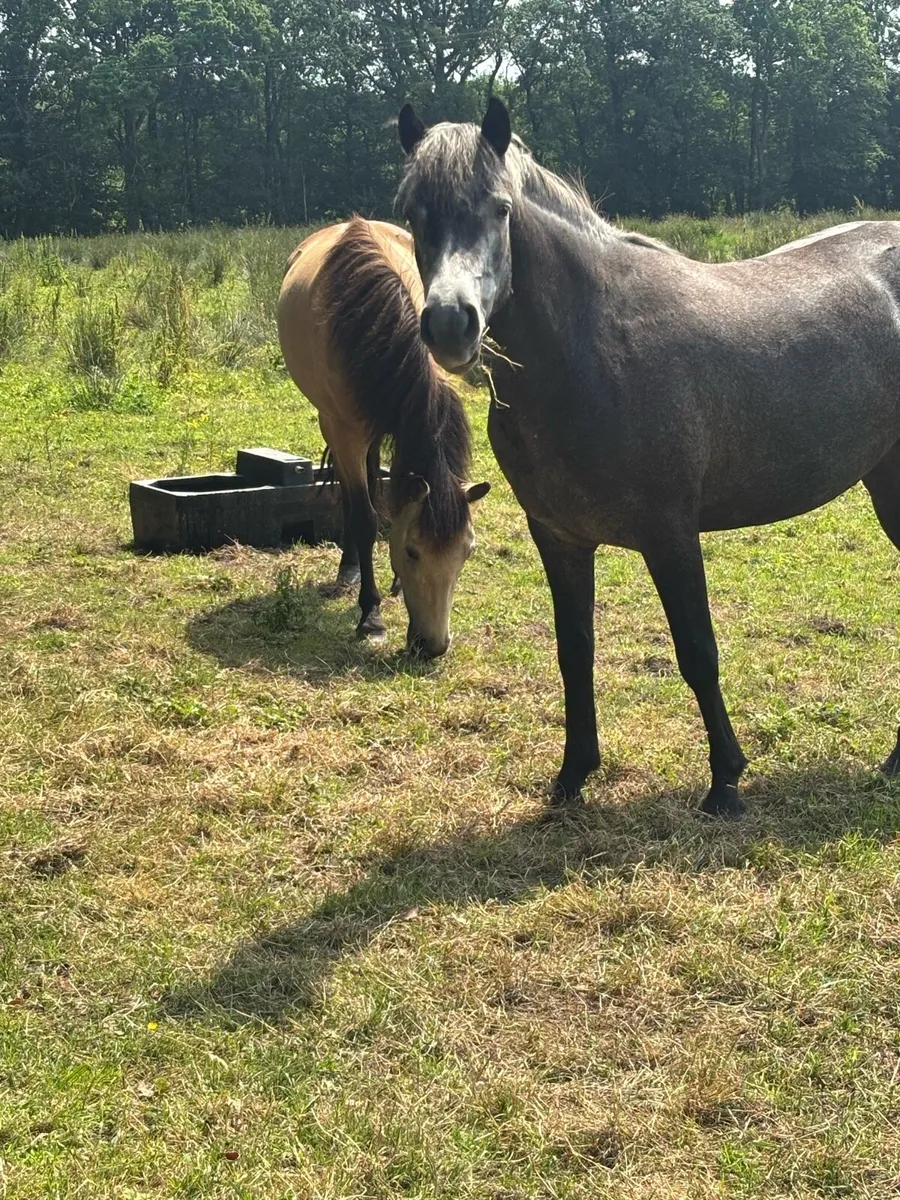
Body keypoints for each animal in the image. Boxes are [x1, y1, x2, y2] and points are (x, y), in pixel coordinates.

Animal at [277, 218, 490, 658]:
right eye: (412, 552)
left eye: (468, 551)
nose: (433, 646)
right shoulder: (344, 432)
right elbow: (363, 516)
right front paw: (370, 616)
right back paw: (349, 569)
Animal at [396, 97, 900, 815]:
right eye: (413, 213)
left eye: (499, 209)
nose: (449, 324)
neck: (590, 350)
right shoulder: (559, 538)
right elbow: (574, 653)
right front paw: (572, 776)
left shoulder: (670, 534)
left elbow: (697, 653)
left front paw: (725, 782)